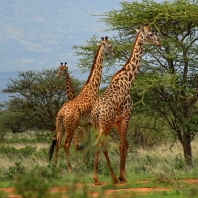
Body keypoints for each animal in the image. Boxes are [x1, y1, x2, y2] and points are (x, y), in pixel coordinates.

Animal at [50, 36, 115, 172]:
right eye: (110, 46)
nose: (114, 53)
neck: (92, 89)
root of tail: (61, 114)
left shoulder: (85, 124)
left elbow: (87, 142)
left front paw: (87, 163)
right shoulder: (91, 122)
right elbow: (90, 142)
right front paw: (89, 164)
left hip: (60, 126)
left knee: (58, 143)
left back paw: (54, 167)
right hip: (71, 127)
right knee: (66, 144)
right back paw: (70, 169)